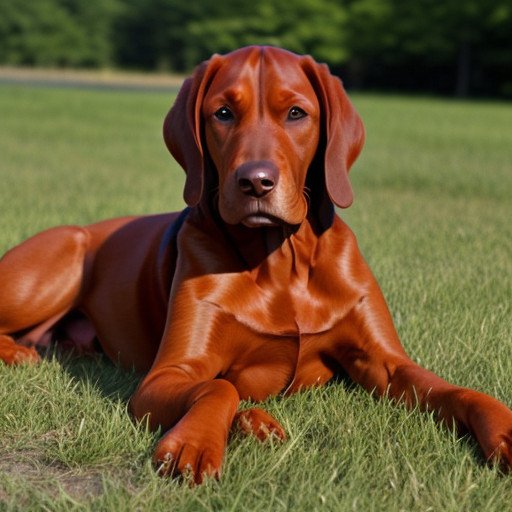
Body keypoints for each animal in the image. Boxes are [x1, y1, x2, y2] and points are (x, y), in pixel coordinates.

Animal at [1, 45, 512, 484]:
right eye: (223, 113)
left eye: (296, 113)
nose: (256, 182)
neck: (282, 260)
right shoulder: (162, 378)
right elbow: (218, 387)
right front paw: (195, 442)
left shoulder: (385, 363)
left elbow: (455, 390)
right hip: (59, 259)